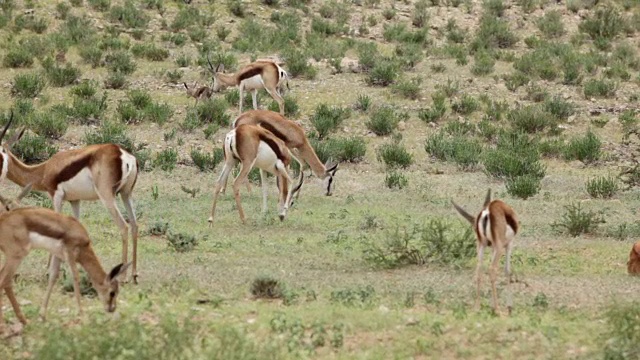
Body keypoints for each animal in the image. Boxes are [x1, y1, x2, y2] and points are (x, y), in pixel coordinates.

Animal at [0, 115, 140, 284]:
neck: (44, 169)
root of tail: (123, 154)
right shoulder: (75, 200)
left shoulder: (56, 196)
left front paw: (49, 270)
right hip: (126, 194)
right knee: (134, 225)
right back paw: (134, 274)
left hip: (107, 196)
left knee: (123, 226)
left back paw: (123, 276)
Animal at [0, 187, 130, 334]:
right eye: (112, 292)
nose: (111, 308)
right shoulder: (70, 254)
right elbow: (75, 277)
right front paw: (81, 314)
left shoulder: (58, 255)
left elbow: (53, 276)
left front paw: (42, 315)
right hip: (16, 256)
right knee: (4, 281)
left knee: (6, 281)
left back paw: (23, 320)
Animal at [450, 188, 520, 316]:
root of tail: (487, 211)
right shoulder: (508, 244)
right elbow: (507, 271)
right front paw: (509, 307)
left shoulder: (491, 247)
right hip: (499, 247)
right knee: (492, 269)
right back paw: (497, 309)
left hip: (481, 245)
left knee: (479, 270)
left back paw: (477, 307)